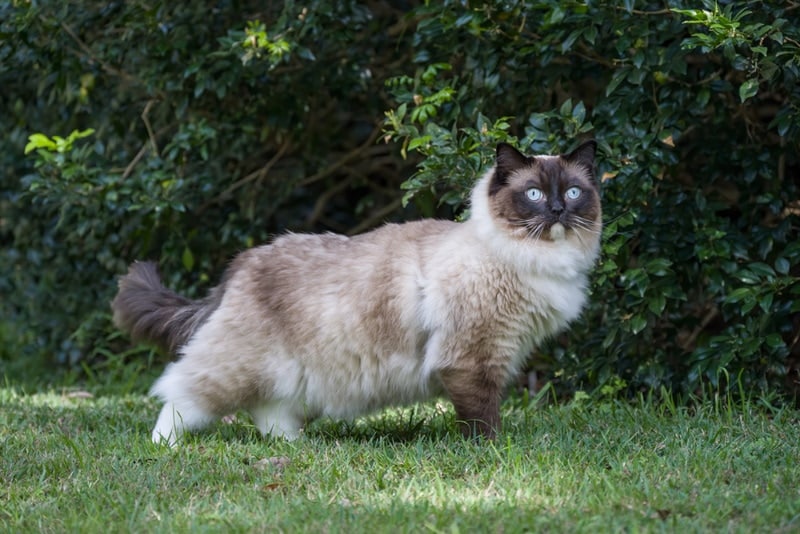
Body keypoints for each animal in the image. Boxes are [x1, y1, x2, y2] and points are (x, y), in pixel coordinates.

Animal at [111, 140, 600, 446]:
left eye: (574, 192)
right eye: (533, 194)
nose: (558, 210)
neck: (530, 260)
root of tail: (240, 264)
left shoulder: (494, 353)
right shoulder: (472, 360)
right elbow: (483, 420)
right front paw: (492, 452)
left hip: (287, 374)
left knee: (270, 413)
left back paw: (297, 448)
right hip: (234, 365)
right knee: (179, 394)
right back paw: (162, 447)